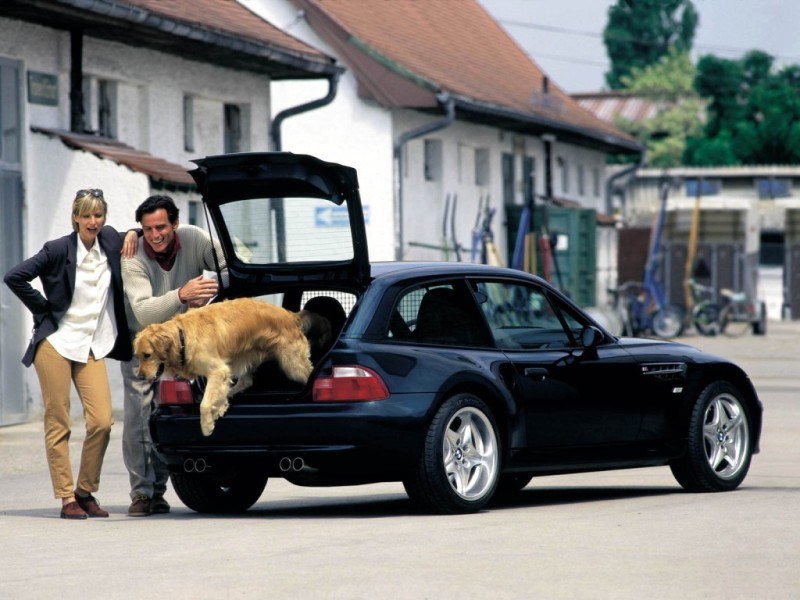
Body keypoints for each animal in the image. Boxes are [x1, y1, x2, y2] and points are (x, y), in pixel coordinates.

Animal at [134, 296, 328, 434]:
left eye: (147, 355)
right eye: (138, 356)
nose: (140, 377)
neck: (182, 336)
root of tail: (291, 315)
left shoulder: (218, 370)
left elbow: (204, 404)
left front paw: (206, 426)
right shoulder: (221, 370)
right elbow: (214, 395)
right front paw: (218, 408)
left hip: (292, 364)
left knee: (307, 373)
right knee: (246, 382)